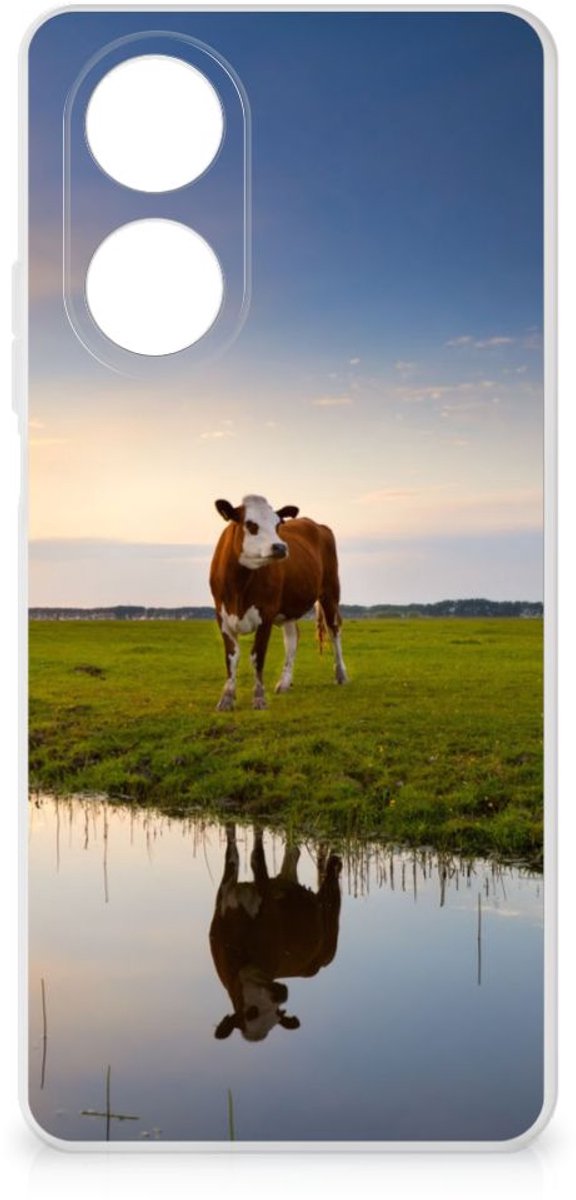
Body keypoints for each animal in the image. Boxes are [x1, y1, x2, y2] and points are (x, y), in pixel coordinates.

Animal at [209, 494, 347, 710]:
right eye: (250, 524)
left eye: (277, 524)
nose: (281, 547)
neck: (238, 586)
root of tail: (317, 524)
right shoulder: (222, 616)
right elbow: (231, 657)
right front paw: (226, 698)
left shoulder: (266, 614)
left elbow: (257, 656)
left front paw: (259, 698)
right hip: (289, 607)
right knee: (292, 638)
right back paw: (284, 682)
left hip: (330, 591)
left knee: (334, 630)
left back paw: (340, 674)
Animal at [209, 825, 342, 1042]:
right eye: (251, 1012)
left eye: (277, 1014)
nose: (282, 994)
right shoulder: (225, 894)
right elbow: (232, 852)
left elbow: (256, 857)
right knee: (293, 853)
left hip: (330, 923)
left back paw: (335, 861)